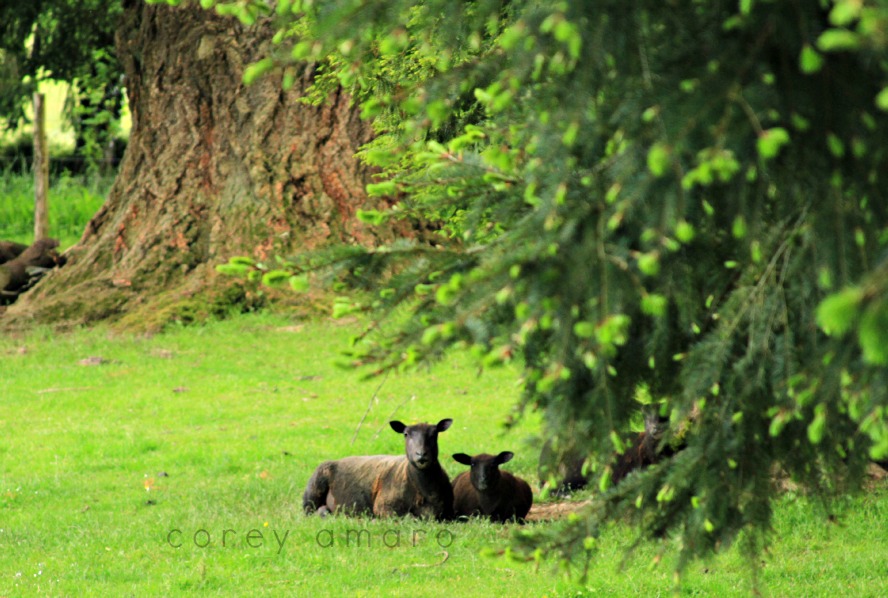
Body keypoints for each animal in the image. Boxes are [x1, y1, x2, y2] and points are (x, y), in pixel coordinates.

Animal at [303, 418, 454, 521]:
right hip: (314, 488)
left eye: (434, 434)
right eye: (406, 434)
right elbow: (409, 518)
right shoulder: (383, 505)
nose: (421, 454)